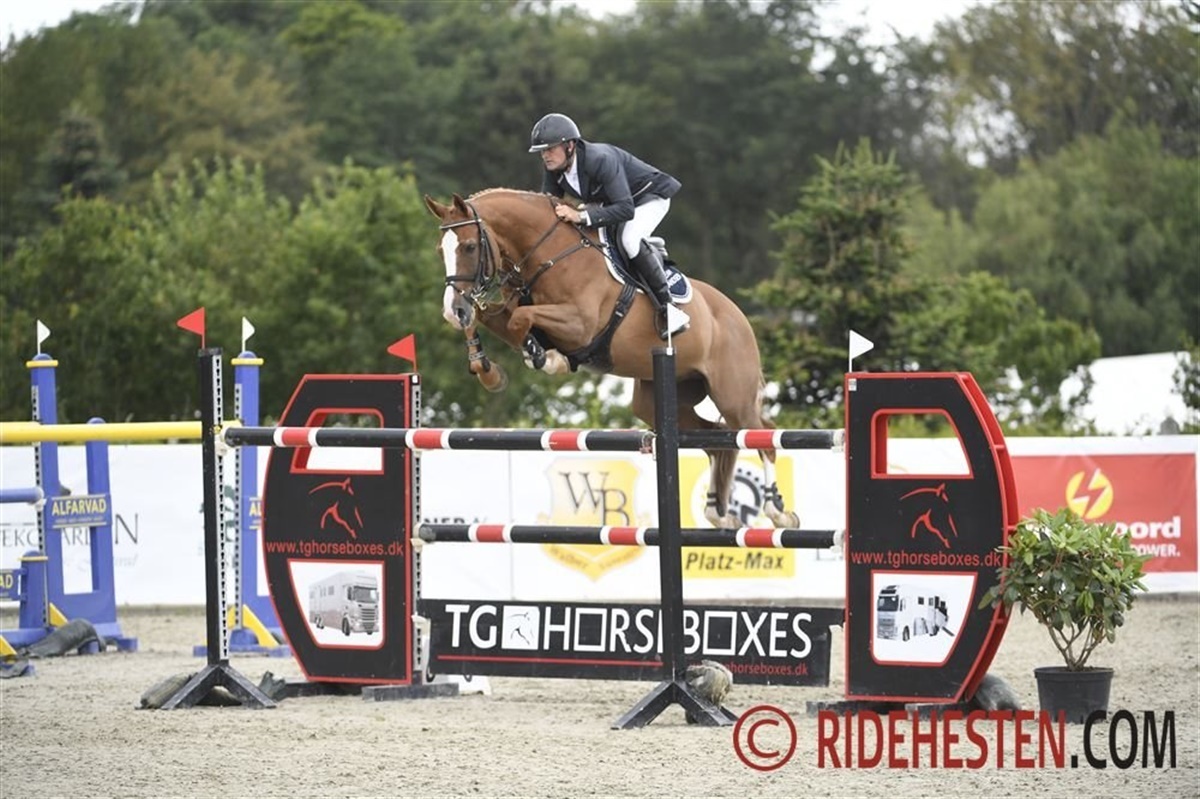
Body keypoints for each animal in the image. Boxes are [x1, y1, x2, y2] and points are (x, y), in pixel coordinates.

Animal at [423, 188, 799, 529]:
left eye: (469, 247)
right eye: (441, 250)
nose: (451, 309)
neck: (547, 254)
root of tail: (738, 316)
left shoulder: (580, 323)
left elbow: (520, 320)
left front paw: (545, 358)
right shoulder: (516, 312)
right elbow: (489, 317)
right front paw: (489, 369)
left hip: (732, 395)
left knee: (762, 434)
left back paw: (777, 511)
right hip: (659, 398)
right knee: (718, 438)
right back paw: (718, 511)